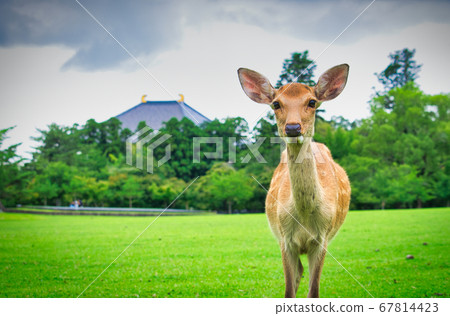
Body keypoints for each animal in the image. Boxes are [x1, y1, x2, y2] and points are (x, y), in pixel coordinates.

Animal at [237, 65, 350, 298]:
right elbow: (289, 290)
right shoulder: (285, 239)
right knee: (299, 272)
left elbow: (314, 292)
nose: (292, 128)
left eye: (312, 102)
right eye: (276, 104)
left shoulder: (322, 240)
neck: (305, 216)